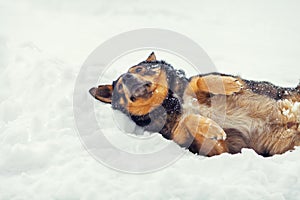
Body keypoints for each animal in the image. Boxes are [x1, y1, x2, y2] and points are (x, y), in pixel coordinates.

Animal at [89, 52, 300, 157]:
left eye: (139, 69)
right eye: (120, 86)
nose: (128, 78)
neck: (171, 102)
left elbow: (199, 81)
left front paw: (228, 84)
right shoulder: (219, 148)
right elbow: (189, 121)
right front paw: (211, 127)